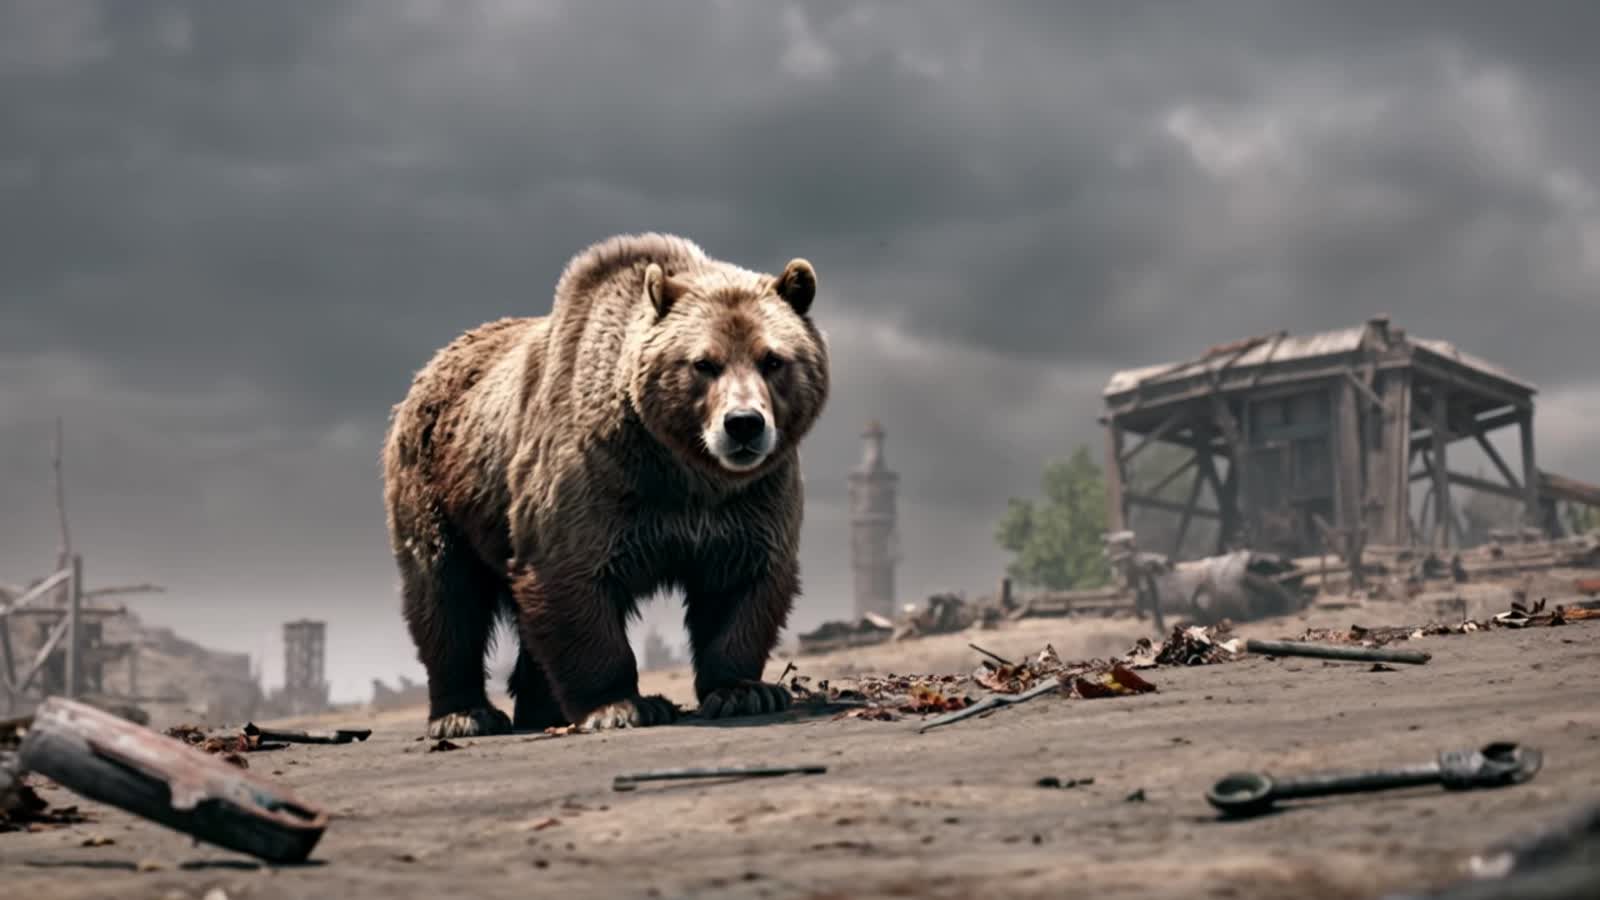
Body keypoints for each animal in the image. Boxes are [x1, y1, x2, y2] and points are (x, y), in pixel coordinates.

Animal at [381, 232, 830, 738]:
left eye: (773, 359)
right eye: (703, 363)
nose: (744, 424)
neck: (684, 470)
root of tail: (428, 369)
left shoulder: (750, 498)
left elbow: (742, 584)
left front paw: (744, 691)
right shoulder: (597, 485)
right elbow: (570, 579)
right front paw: (622, 705)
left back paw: (540, 711)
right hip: (437, 487)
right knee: (446, 594)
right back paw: (464, 715)